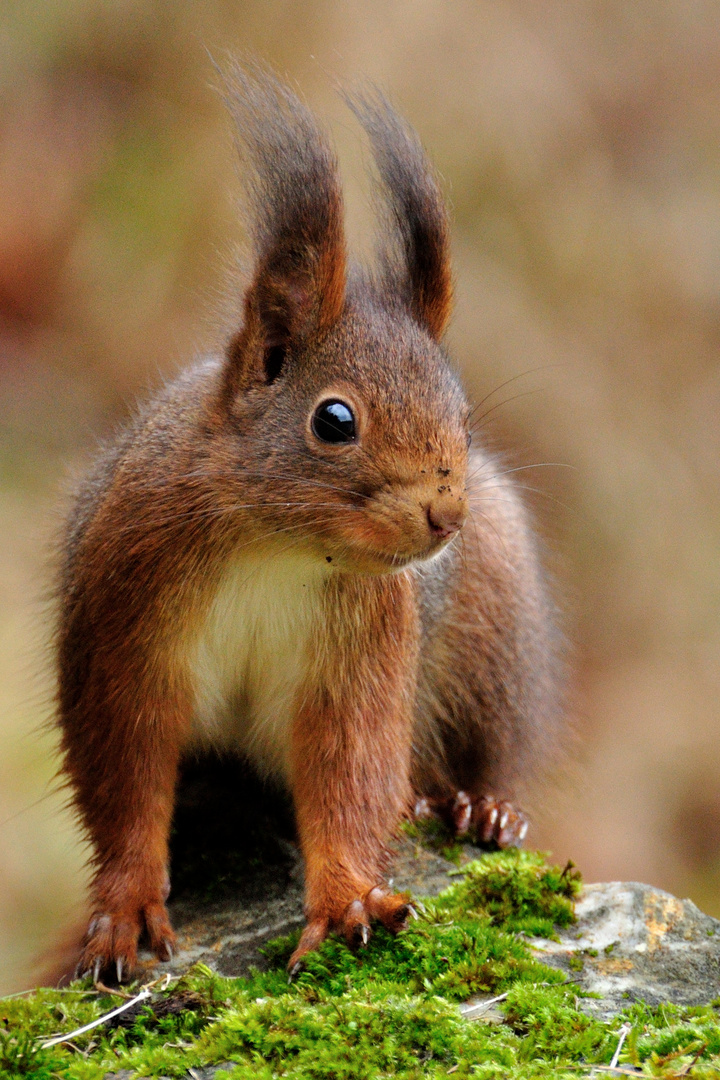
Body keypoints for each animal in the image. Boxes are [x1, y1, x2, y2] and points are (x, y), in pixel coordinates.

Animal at [56, 63, 561, 984]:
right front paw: (123, 911)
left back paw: (479, 805)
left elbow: (349, 772)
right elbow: (128, 774)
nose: (446, 513)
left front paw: (350, 898)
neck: (278, 549)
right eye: (334, 420)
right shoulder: (126, 622)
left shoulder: (364, 647)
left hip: (499, 635)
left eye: (464, 419)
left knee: (490, 742)